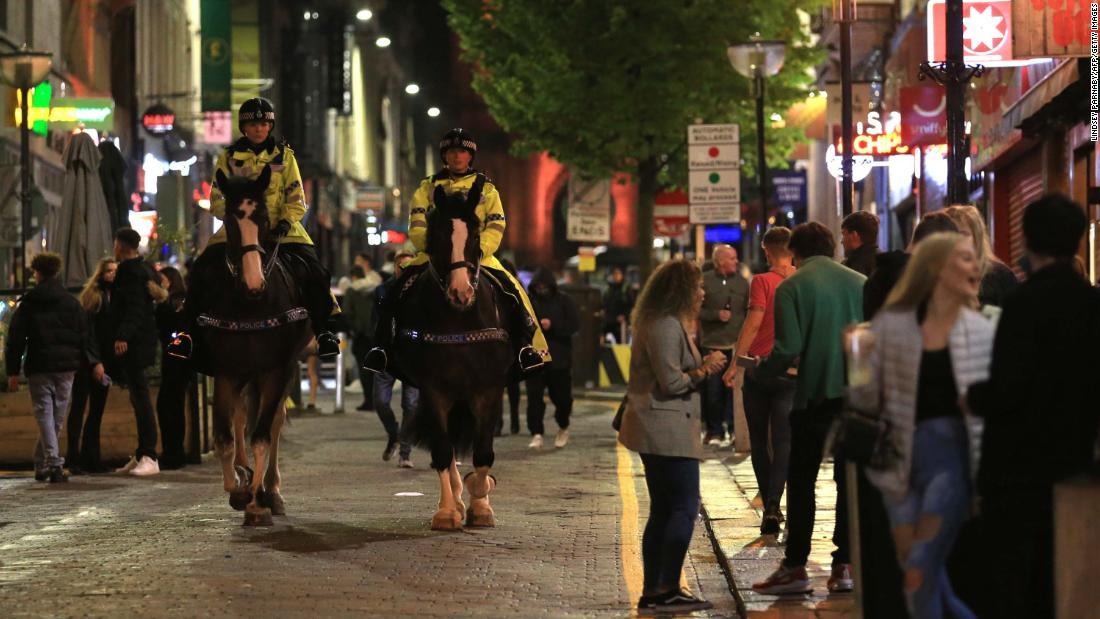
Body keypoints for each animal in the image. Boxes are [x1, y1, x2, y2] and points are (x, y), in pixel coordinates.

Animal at [200, 167, 312, 525]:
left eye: (263, 219)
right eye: (229, 220)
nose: (253, 283)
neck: (251, 306)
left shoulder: (277, 370)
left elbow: (262, 435)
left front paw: (258, 499)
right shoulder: (227, 371)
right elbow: (224, 437)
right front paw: (239, 488)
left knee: (272, 421)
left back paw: (270, 491)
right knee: (241, 417)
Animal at [391, 177, 514, 529]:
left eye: (474, 234)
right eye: (438, 237)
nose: (461, 292)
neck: (460, 319)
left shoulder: (489, 389)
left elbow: (483, 451)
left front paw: (481, 503)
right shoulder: (434, 390)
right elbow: (443, 452)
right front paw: (448, 510)